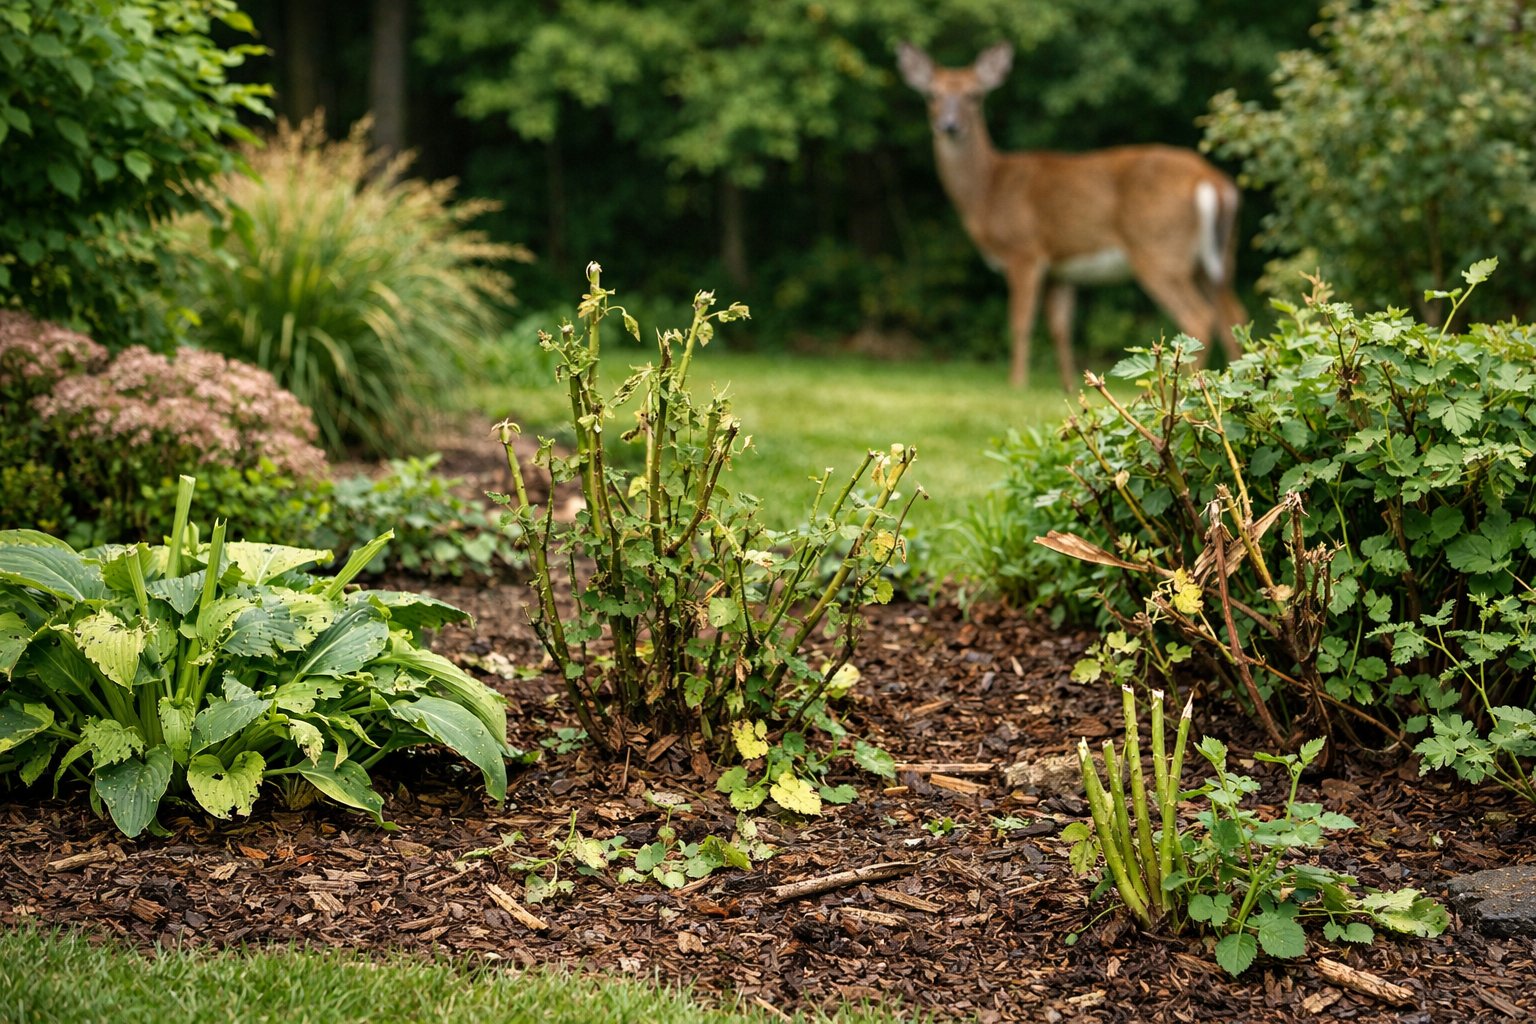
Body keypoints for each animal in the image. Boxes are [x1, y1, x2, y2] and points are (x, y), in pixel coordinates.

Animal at [897, 42, 1247, 390]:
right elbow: (1060, 329)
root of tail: (1211, 181)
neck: (988, 191)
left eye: (974, 95)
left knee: (1199, 317)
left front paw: (1017, 385)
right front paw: (1071, 385)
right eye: (931, 95)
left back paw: (1189, 384)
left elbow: (1020, 322)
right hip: (1216, 259)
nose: (949, 126)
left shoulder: (1024, 252)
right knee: (1232, 317)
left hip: (1158, 250)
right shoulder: (1060, 270)